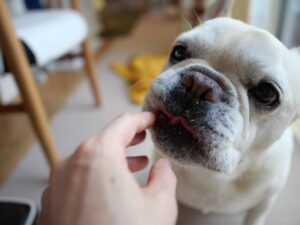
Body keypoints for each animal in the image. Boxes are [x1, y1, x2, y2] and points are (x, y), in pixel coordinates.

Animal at [143, 0, 300, 224]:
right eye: (178, 52)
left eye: (266, 93)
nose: (199, 83)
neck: (214, 176)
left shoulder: (265, 201)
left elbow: (255, 217)